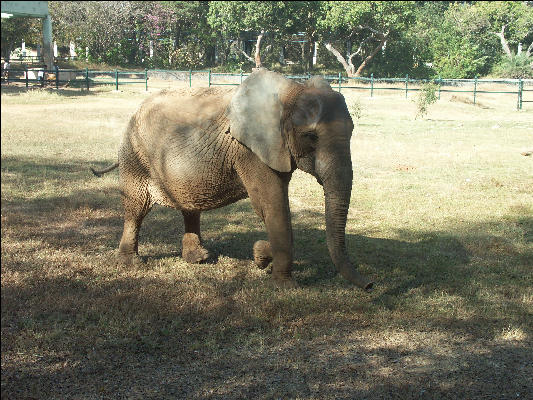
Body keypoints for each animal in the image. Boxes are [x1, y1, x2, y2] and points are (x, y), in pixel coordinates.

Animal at [91, 69, 372, 290]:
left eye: (352, 132)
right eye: (311, 136)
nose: (370, 285)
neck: (290, 91)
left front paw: (262, 257)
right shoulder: (249, 151)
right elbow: (272, 206)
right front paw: (280, 278)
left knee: (189, 209)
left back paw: (199, 258)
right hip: (135, 154)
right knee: (136, 209)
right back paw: (132, 262)